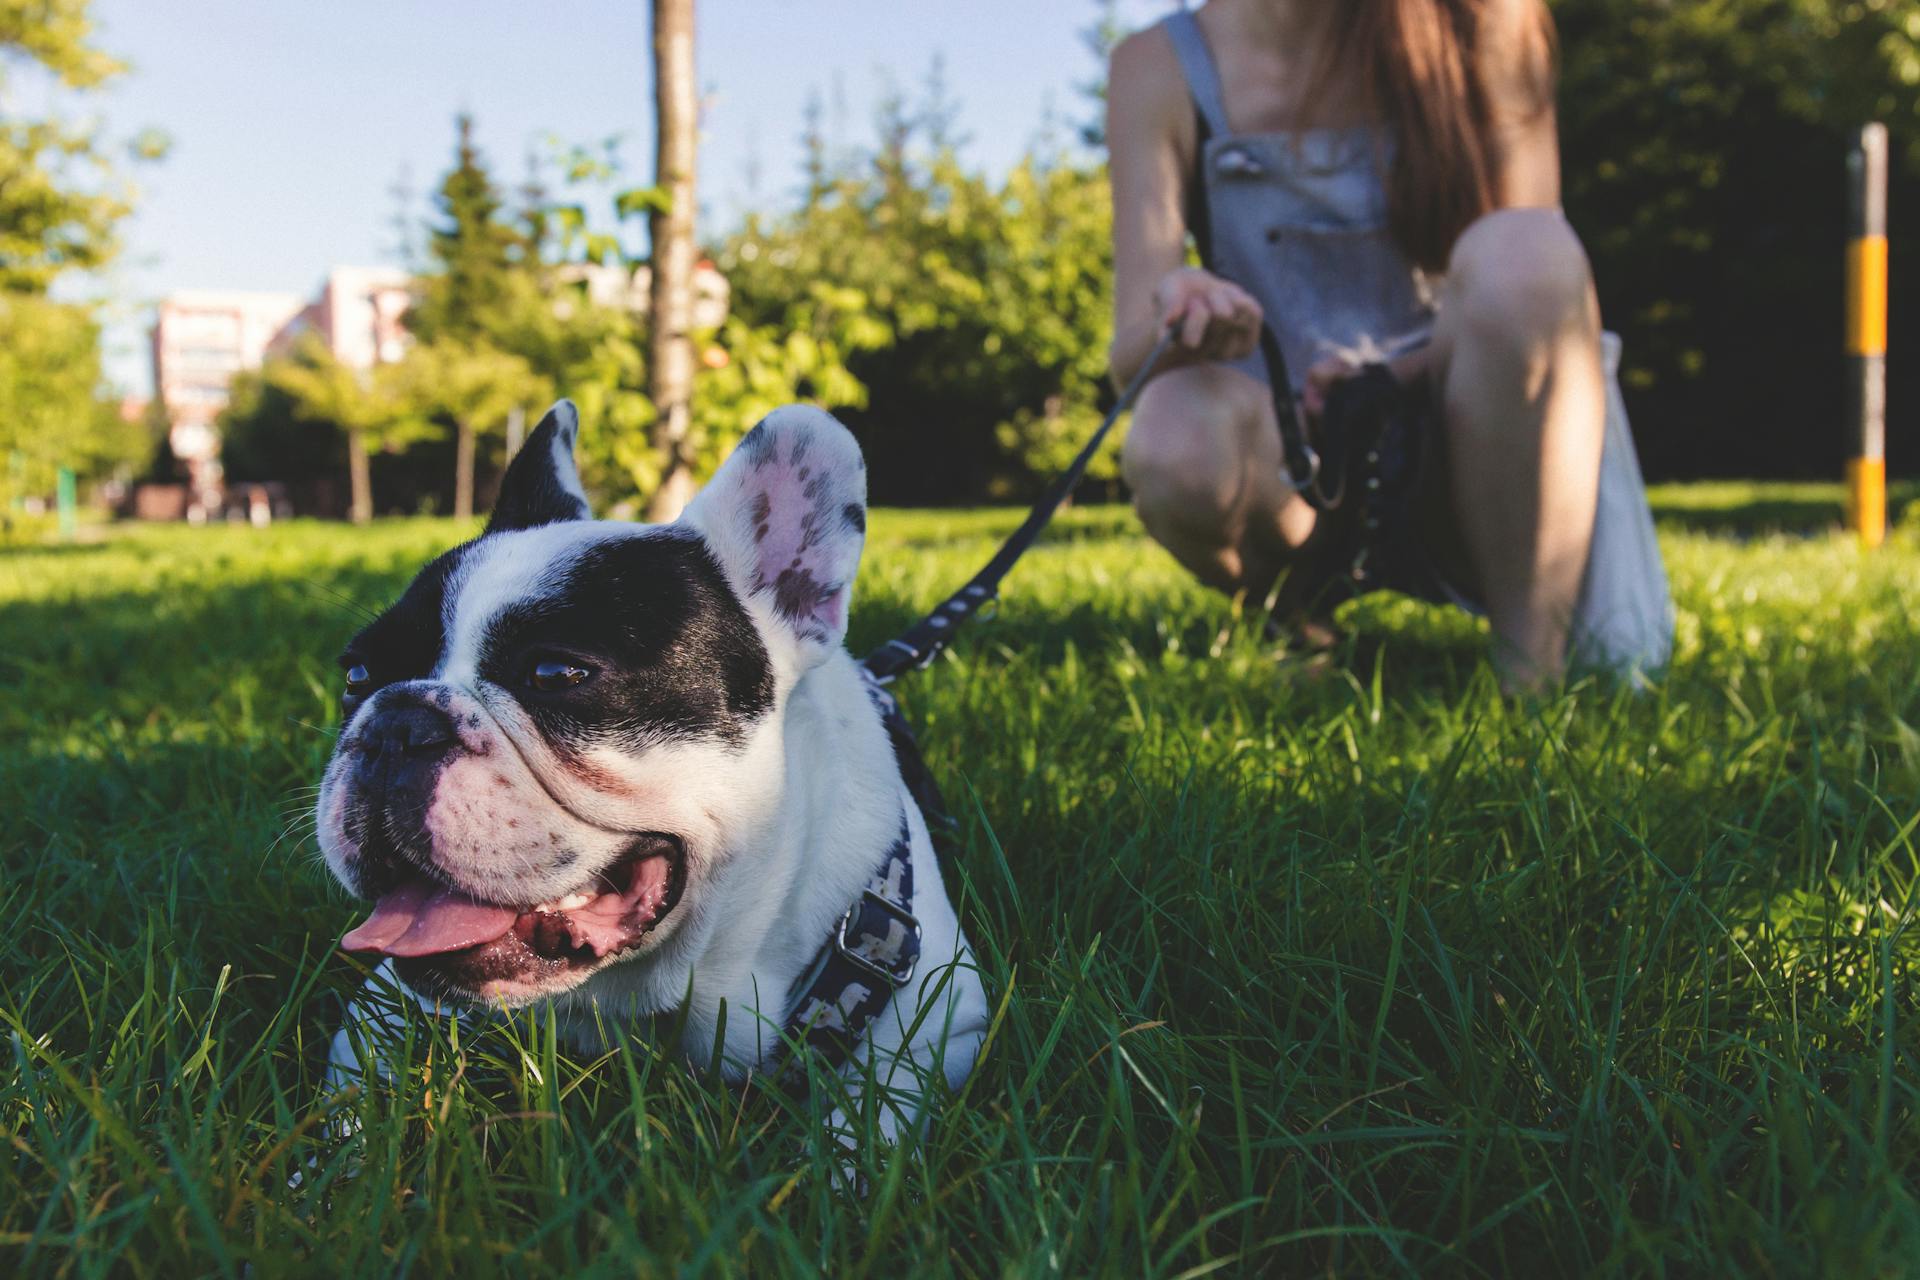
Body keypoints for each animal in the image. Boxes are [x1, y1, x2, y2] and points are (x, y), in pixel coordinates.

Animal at [316, 402, 990, 1143]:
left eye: (556, 673)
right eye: (356, 676)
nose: (395, 725)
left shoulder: (939, 1022)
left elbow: (866, 1123)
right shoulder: (381, 1006)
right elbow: (345, 1112)